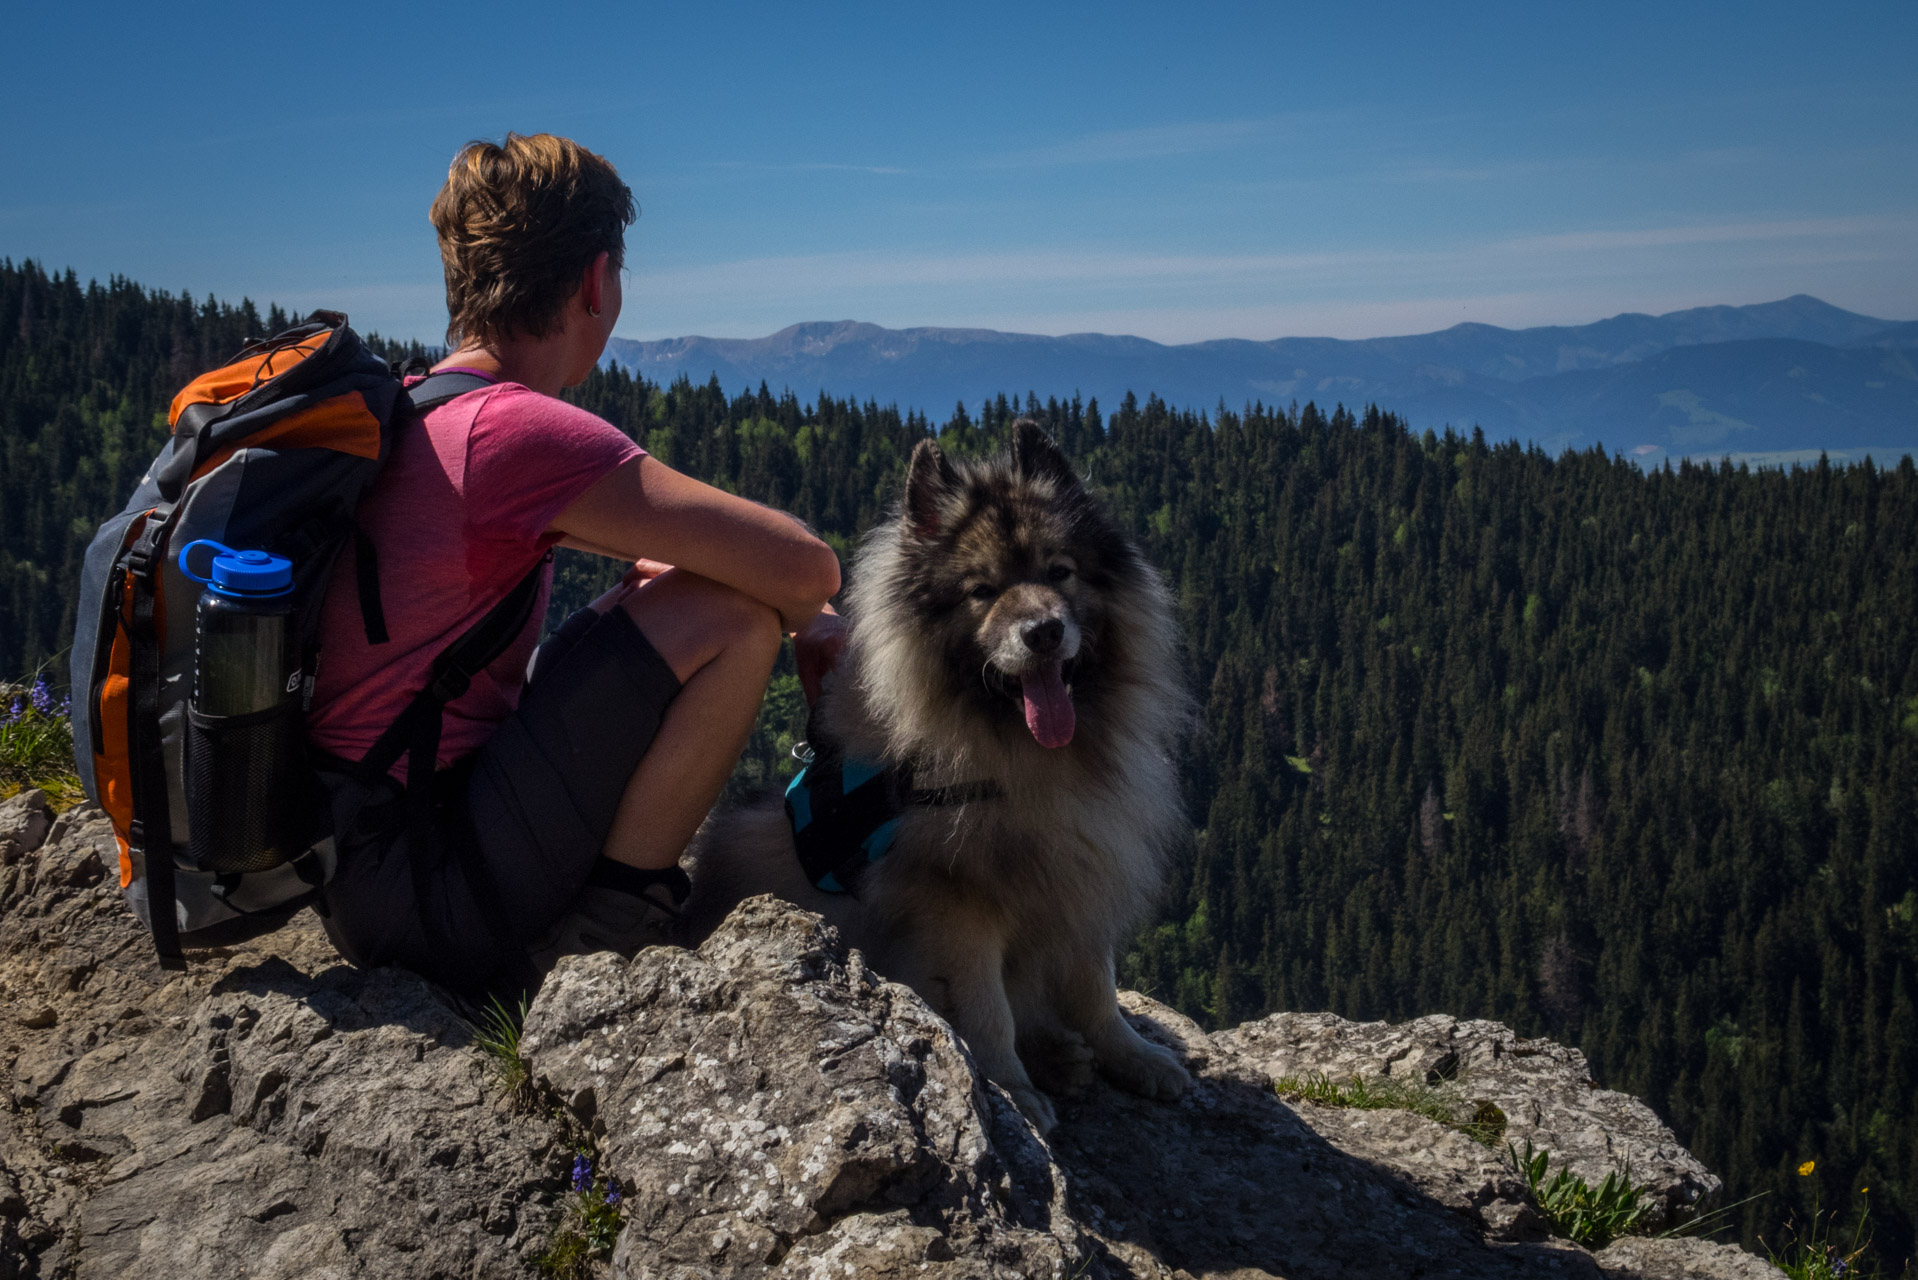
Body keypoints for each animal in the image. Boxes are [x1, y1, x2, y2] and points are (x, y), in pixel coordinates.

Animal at [690, 420, 1189, 1128]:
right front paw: (1012, 1092)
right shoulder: (956, 907)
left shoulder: (1081, 874)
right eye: (982, 590)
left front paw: (1133, 1055)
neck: (1020, 757)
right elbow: (986, 1011)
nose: (1044, 631)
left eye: (1059, 572)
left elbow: (1097, 988)